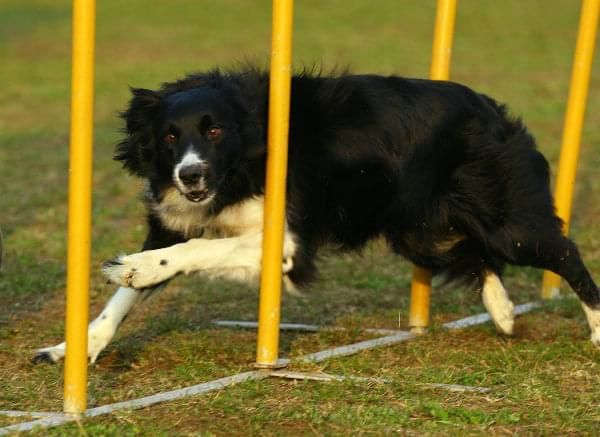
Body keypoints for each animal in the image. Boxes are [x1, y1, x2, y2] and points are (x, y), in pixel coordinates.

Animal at [34, 66, 600, 362]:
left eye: (214, 131)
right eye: (170, 136)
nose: (190, 177)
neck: (244, 160)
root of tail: (491, 107)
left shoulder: (283, 242)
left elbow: (197, 249)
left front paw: (136, 267)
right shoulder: (178, 217)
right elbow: (127, 294)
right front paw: (73, 348)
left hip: (504, 219)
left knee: (564, 254)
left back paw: (594, 330)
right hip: (417, 226)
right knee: (474, 255)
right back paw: (502, 312)